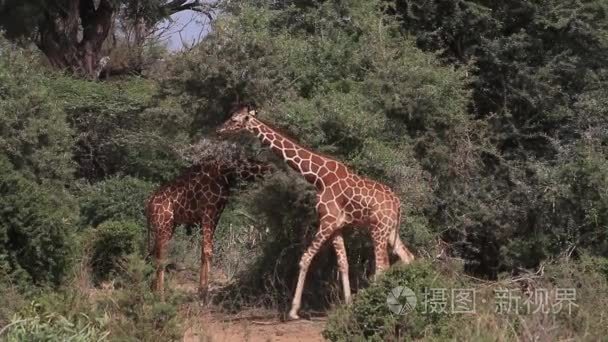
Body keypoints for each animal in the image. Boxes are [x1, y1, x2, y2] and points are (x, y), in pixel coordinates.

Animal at [146, 156, 272, 298]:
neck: (226, 172)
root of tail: (149, 204)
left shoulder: (216, 214)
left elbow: (203, 250)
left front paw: (201, 289)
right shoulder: (208, 212)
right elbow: (208, 251)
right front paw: (205, 291)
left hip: (167, 226)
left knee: (154, 253)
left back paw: (155, 290)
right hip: (164, 225)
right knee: (161, 255)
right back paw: (161, 294)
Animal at [216, 105, 416, 320]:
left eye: (235, 120)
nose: (219, 130)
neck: (318, 176)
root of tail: (397, 203)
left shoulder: (327, 221)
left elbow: (305, 258)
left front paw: (293, 311)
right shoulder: (336, 226)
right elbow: (343, 263)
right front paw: (348, 305)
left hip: (378, 229)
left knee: (382, 267)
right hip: (390, 230)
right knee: (407, 258)